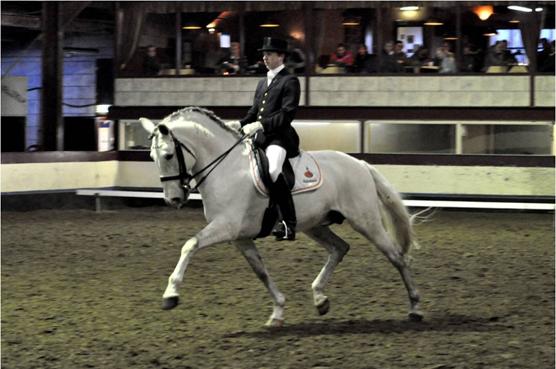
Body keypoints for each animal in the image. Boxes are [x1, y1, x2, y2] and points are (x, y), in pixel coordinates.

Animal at [139, 105, 422, 324]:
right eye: (152, 156)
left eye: (168, 155)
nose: (173, 200)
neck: (226, 168)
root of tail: (360, 163)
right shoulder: (240, 237)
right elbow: (261, 272)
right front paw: (277, 312)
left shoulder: (226, 227)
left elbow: (190, 244)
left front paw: (170, 295)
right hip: (314, 225)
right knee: (340, 248)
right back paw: (320, 298)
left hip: (366, 221)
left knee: (397, 257)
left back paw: (415, 308)